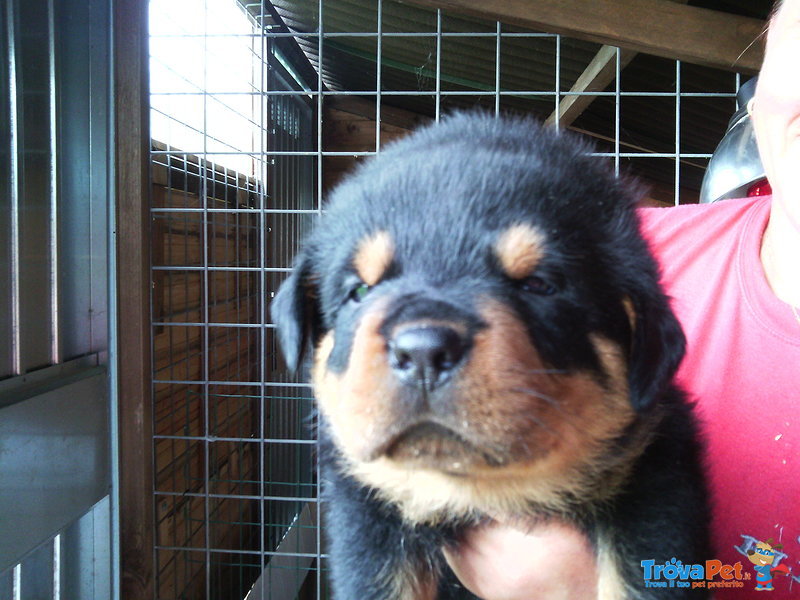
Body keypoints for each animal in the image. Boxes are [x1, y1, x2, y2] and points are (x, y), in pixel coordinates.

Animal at [274, 113, 708, 600]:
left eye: (538, 285)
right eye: (360, 291)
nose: (423, 351)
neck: (478, 494)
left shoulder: (653, 486)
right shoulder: (369, 516)